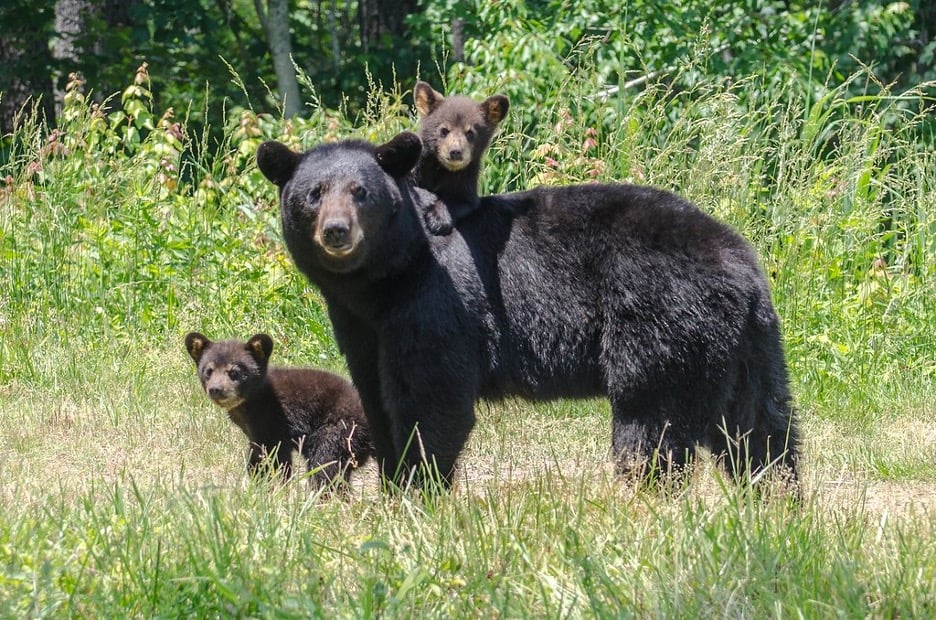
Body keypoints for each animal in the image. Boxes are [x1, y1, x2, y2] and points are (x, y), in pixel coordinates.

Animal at [183, 332, 372, 486]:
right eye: (209, 370)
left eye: (234, 372)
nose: (216, 389)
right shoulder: (255, 435)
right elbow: (256, 459)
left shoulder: (275, 422)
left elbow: (278, 459)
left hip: (339, 430)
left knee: (325, 466)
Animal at [256, 133, 796, 492]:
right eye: (314, 194)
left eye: (361, 192)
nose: (337, 231)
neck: (384, 283)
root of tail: (738, 260)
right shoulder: (360, 326)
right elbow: (375, 396)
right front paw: (392, 486)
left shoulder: (436, 304)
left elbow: (430, 397)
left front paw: (417, 491)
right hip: (746, 340)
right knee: (758, 422)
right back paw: (775, 495)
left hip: (662, 319)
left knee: (650, 421)